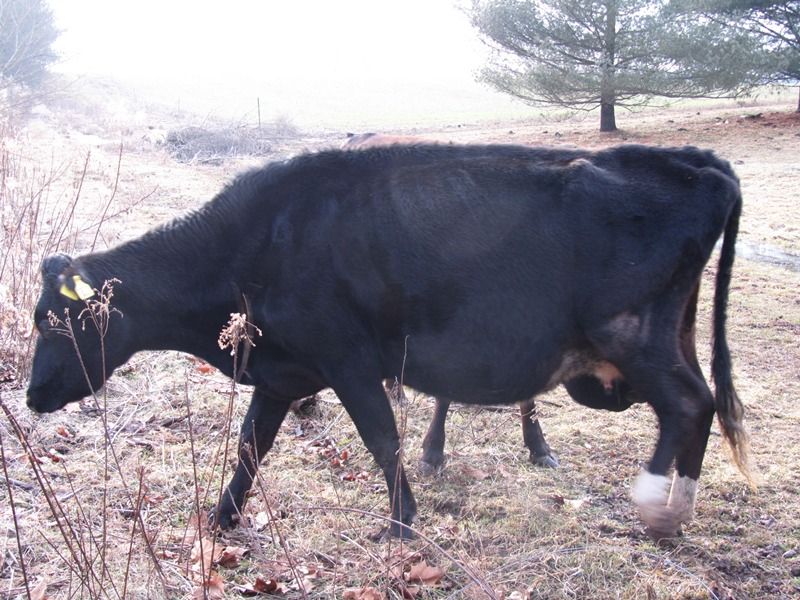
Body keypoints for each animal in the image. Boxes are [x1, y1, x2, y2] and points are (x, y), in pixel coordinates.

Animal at [27, 143, 749, 540]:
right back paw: (679, 511)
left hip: (629, 334)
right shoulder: (283, 372)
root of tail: (695, 162)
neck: (252, 245)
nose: (32, 396)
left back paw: (656, 507)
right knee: (704, 402)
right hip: (670, 332)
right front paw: (221, 520)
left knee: (687, 404)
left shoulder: (347, 361)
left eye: (52, 322)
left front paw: (402, 523)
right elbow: (251, 446)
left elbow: (381, 439)